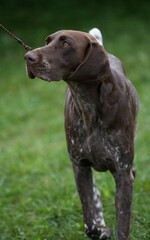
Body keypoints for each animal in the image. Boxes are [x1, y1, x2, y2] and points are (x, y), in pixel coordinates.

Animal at [24, 28, 138, 240]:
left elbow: (122, 224)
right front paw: (101, 230)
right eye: (47, 41)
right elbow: (89, 222)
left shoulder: (123, 175)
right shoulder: (80, 166)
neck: (89, 106)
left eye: (65, 44)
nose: (28, 57)